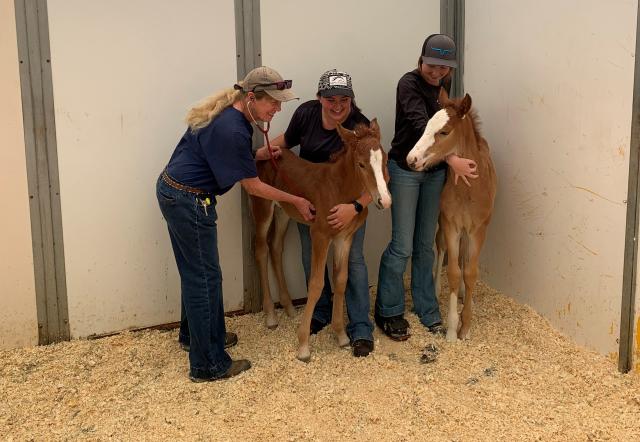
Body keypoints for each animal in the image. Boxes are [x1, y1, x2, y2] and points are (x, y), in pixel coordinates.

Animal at [252, 119, 392, 360]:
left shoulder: (344, 238)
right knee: (261, 249)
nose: (385, 200)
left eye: (384, 159)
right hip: (262, 207)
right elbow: (317, 283)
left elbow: (341, 280)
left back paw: (289, 307)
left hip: (283, 212)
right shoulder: (320, 235)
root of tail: (264, 152)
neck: (339, 189)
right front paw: (303, 344)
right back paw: (271, 314)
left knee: (275, 247)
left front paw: (342, 335)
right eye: (361, 164)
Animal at [408, 89, 498, 342]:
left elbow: (470, 272)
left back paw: (466, 295)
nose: (411, 159)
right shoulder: (451, 225)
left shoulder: (479, 229)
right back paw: (437, 287)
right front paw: (451, 328)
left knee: (466, 259)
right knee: (441, 248)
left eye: (444, 131)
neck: (469, 189)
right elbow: (454, 272)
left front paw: (465, 326)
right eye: (426, 125)